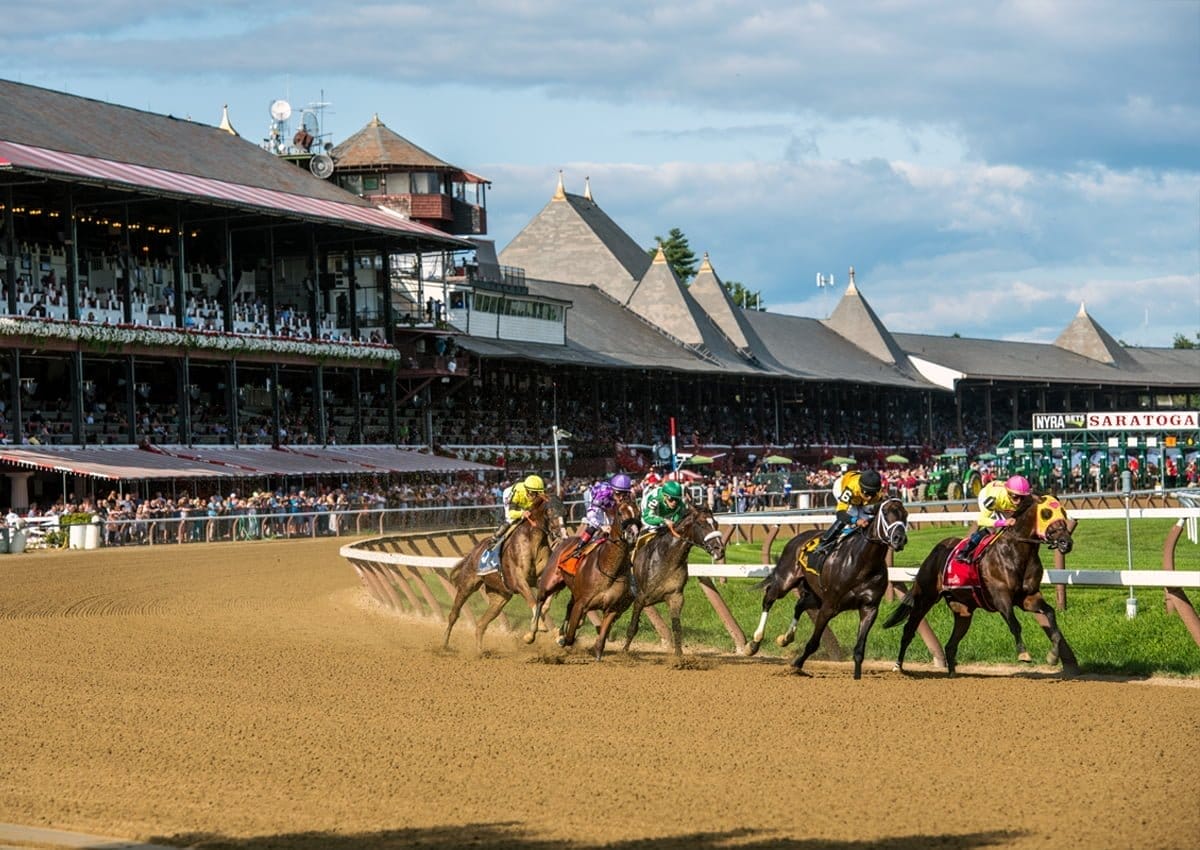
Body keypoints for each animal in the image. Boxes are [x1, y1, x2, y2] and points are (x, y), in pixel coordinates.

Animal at [444, 494, 564, 653]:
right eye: (550, 511)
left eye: (565, 511)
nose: (561, 534)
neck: (534, 541)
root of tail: (473, 551)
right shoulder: (519, 580)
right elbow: (533, 601)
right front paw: (537, 631)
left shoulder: (542, 580)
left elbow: (544, 606)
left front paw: (554, 634)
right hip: (467, 585)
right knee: (453, 614)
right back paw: (444, 645)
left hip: (500, 597)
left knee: (481, 624)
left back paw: (479, 652)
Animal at [624, 504, 724, 657]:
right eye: (701, 524)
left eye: (716, 523)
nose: (720, 550)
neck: (667, 558)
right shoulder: (640, 597)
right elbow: (633, 627)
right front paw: (624, 651)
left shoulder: (675, 596)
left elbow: (677, 627)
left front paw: (679, 655)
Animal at [744, 497, 902, 677]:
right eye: (885, 513)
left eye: (905, 514)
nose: (900, 538)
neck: (863, 564)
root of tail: (797, 538)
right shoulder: (829, 606)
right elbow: (813, 643)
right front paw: (796, 665)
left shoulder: (869, 608)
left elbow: (859, 649)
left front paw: (857, 677)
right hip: (786, 581)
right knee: (769, 598)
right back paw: (754, 642)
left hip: (816, 595)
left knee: (800, 604)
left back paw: (786, 638)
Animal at [883, 494, 1080, 672]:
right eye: (1046, 513)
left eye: (1063, 512)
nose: (1066, 542)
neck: (1016, 552)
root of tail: (934, 553)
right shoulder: (1001, 598)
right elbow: (1015, 624)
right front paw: (1024, 654)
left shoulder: (1028, 597)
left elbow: (1051, 615)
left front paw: (1053, 656)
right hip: (925, 598)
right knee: (909, 630)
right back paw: (898, 666)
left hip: (963, 610)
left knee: (950, 645)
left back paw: (953, 675)